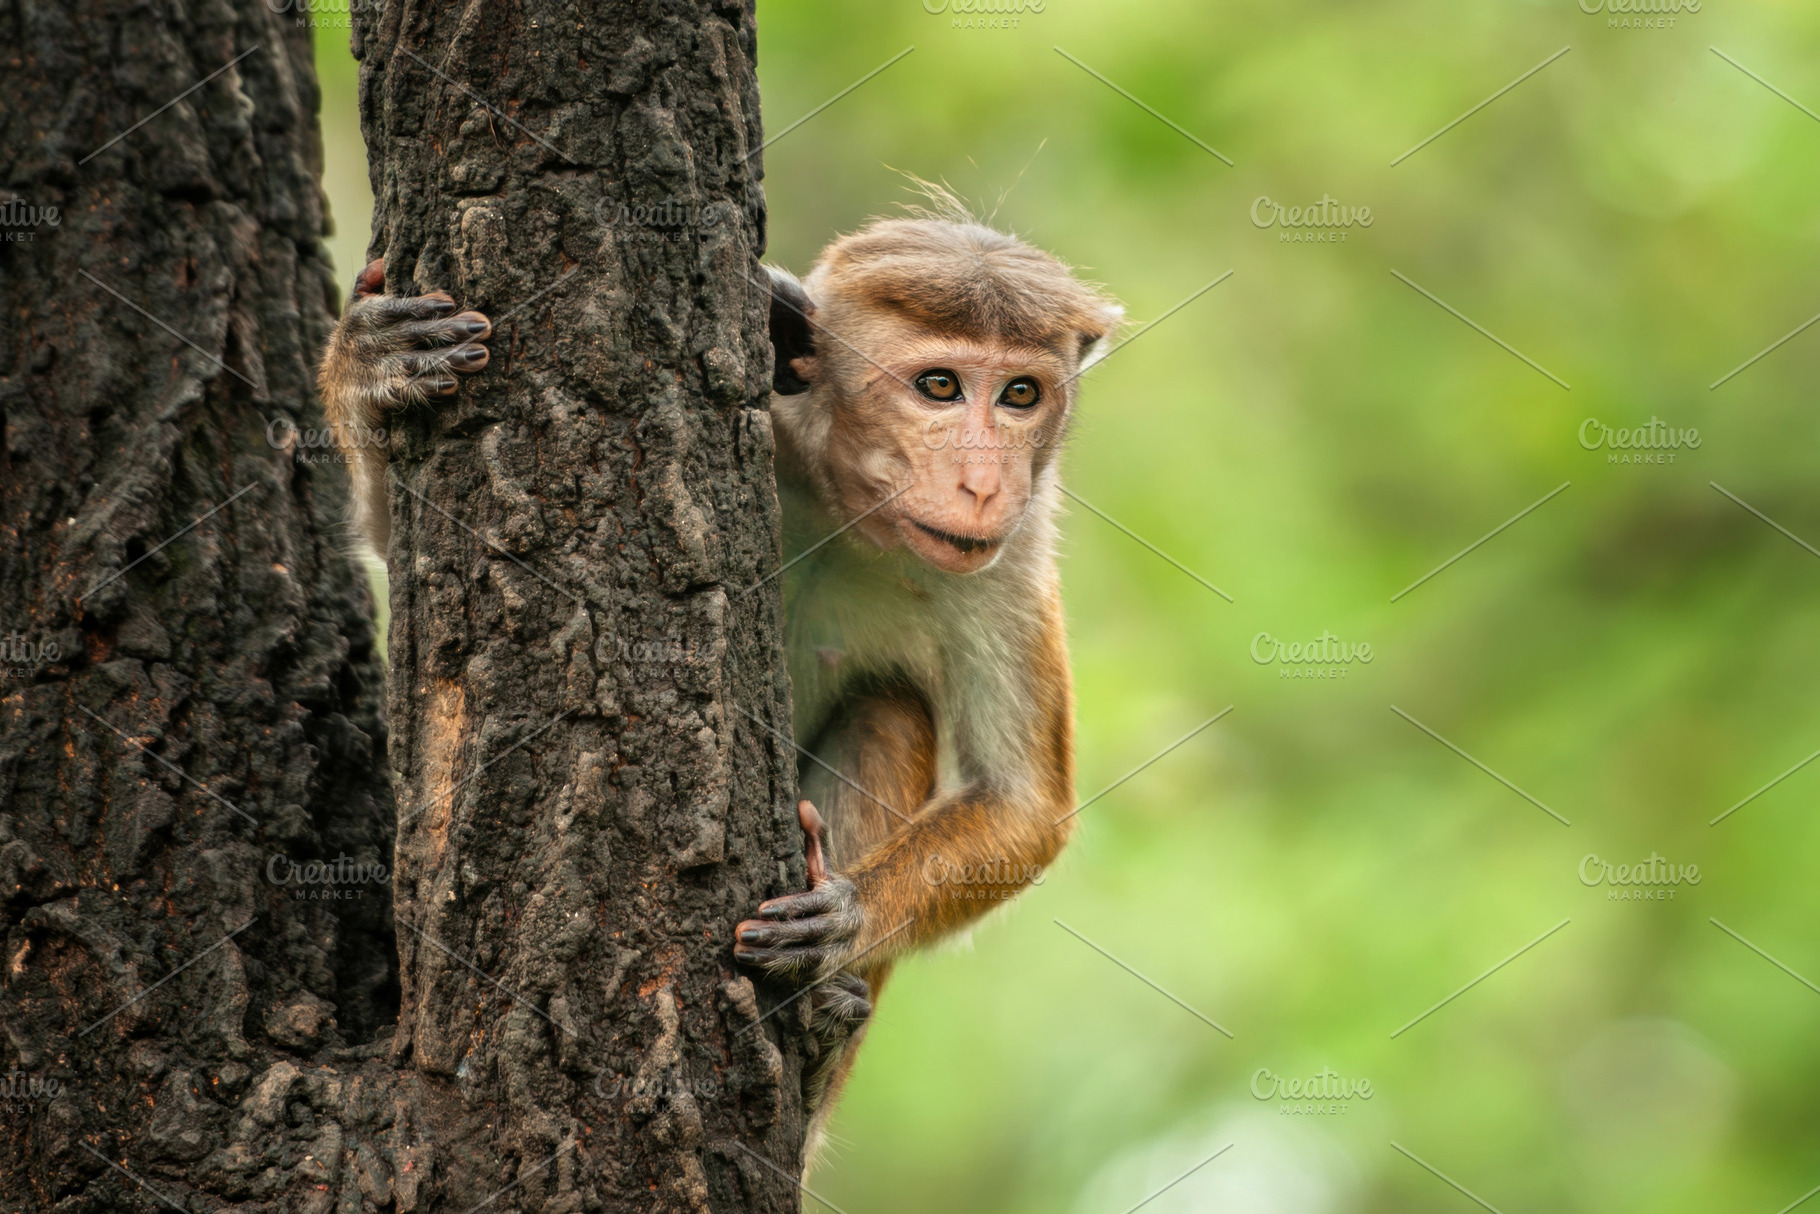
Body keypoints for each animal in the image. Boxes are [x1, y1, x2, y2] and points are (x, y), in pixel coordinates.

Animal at [319, 205, 1121, 1158]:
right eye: (939, 386)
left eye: (1020, 395)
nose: (983, 483)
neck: (848, 510)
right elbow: (391, 535)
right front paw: (369, 364)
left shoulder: (1016, 552)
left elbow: (1021, 804)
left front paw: (846, 917)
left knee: (891, 710)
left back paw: (819, 1029)